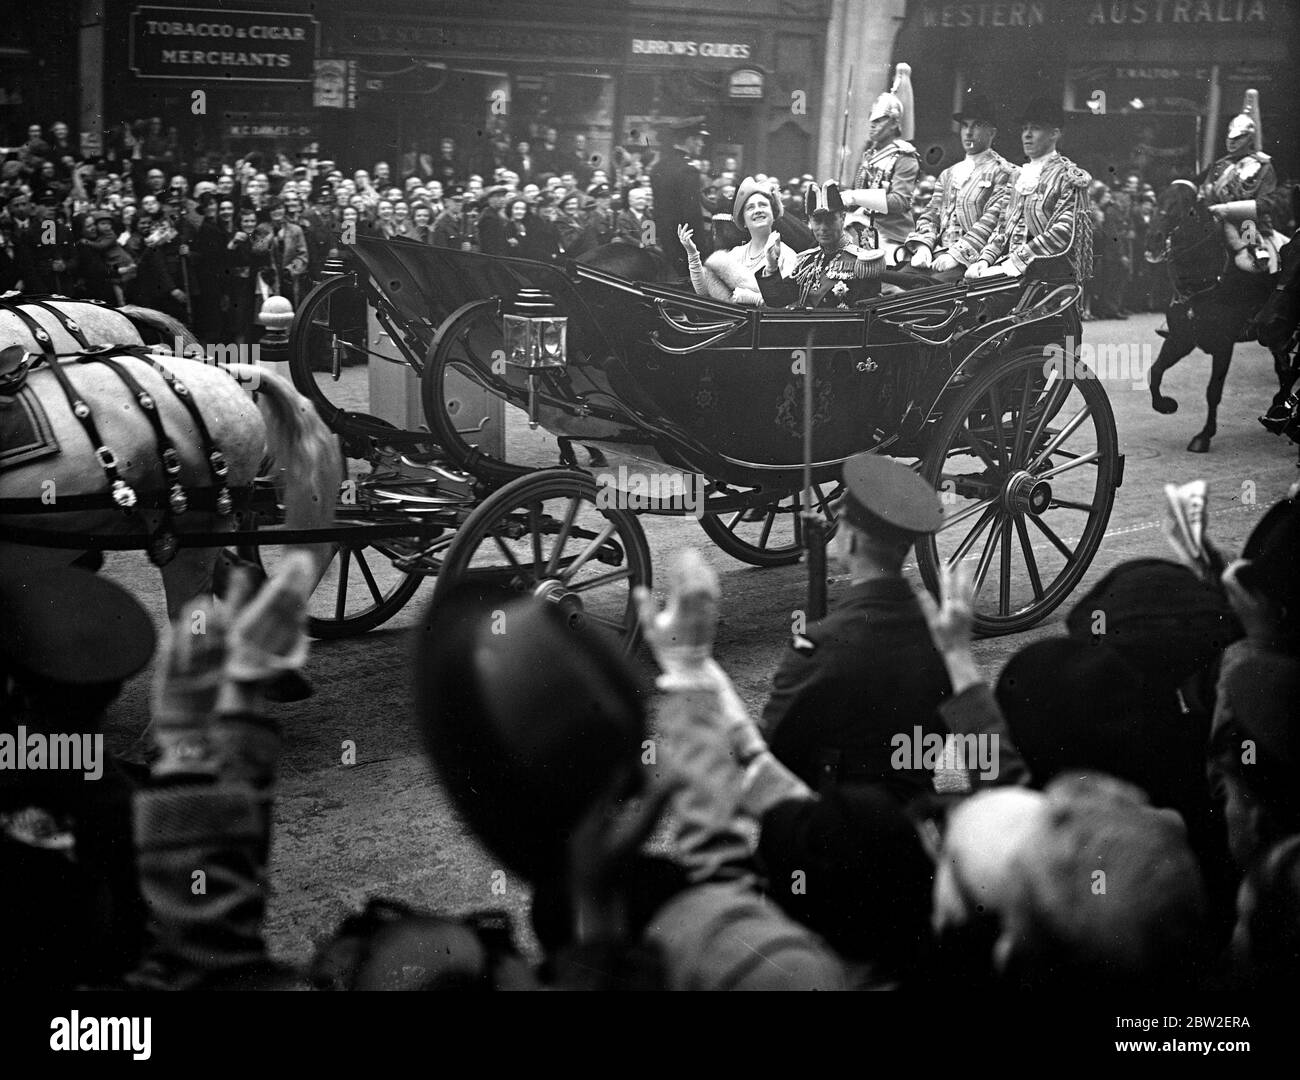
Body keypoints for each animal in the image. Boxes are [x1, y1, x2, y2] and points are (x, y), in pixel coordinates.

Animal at [1149, 181, 1289, 452]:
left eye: (1187, 207)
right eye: (1159, 199)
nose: (1154, 240)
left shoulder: (1224, 345)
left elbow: (1213, 391)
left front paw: (1203, 436)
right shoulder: (1181, 339)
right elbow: (1155, 371)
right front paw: (1166, 405)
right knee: (1283, 367)